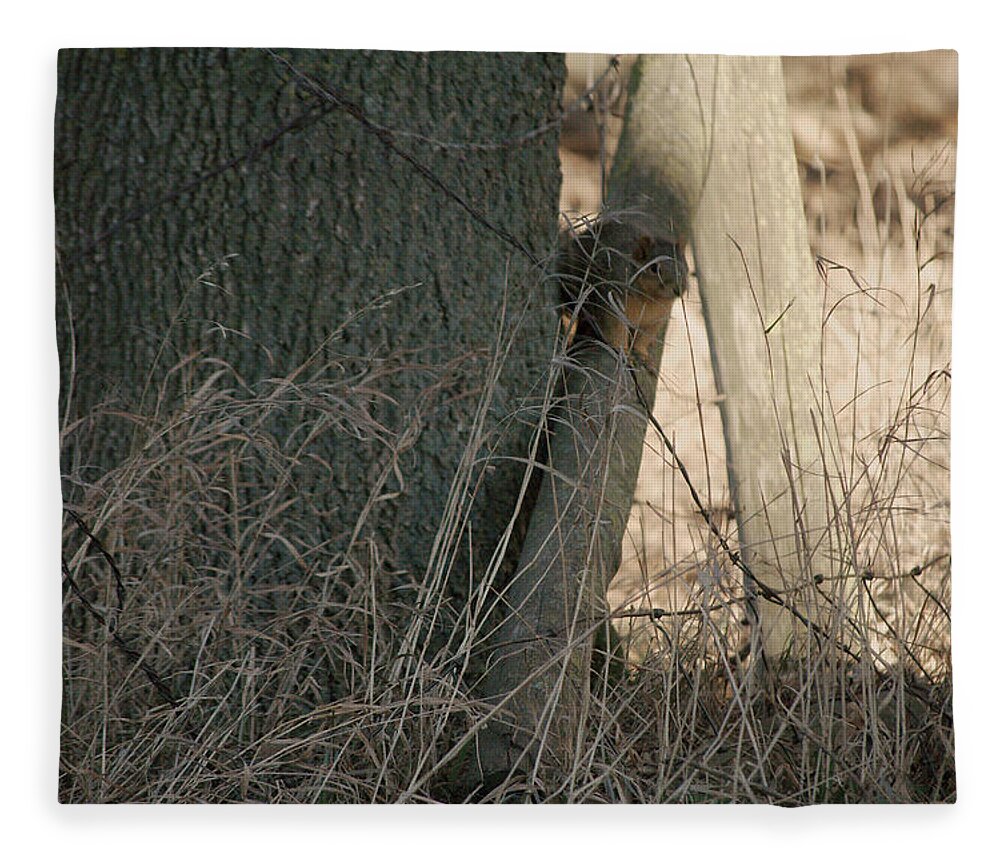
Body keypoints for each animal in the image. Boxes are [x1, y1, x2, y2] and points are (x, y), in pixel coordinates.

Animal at [556, 218, 688, 370]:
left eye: (684, 265)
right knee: (570, 312)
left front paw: (643, 355)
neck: (651, 299)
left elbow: (644, 338)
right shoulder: (612, 302)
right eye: (654, 268)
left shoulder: (656, 319)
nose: (678, 289)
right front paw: (625, 353)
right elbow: (616, 331)